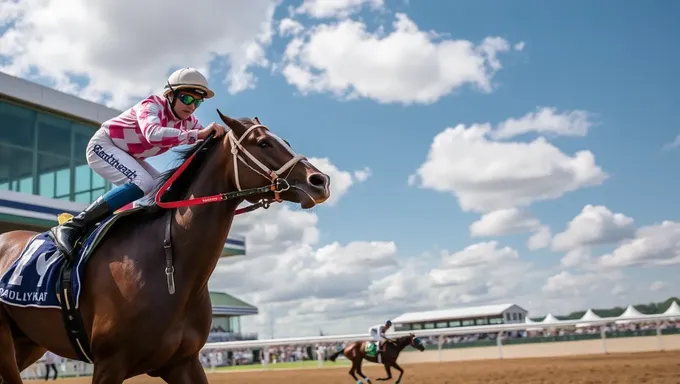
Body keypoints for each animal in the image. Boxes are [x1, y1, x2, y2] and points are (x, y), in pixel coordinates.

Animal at [0, 109, 332, 384]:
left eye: (284, 141)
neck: (167, 265)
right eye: (263, 143)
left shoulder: (182, 362)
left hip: (28, 341)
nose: (320, 180)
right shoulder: (109, 364)